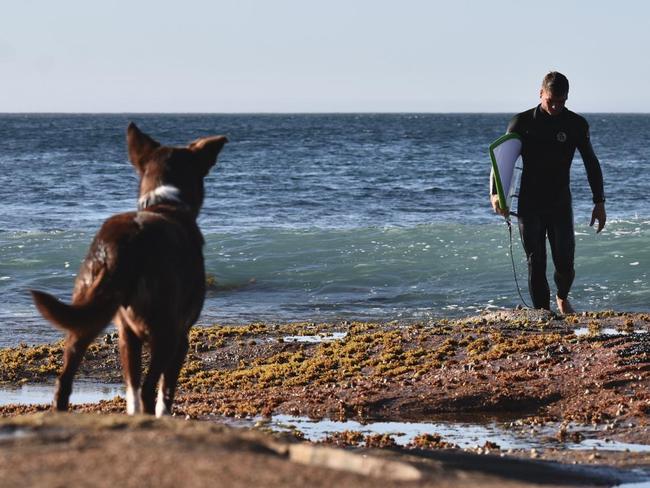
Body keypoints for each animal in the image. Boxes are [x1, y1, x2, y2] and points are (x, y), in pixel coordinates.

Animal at [31, 123, 228, 416]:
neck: (166, 203)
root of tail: (124, 242)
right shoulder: (180, 337)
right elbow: (164, 392)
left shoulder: (127, 335)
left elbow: (132, 388)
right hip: (165, 332)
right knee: (148, 389)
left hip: (89, 313)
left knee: (66, 381)